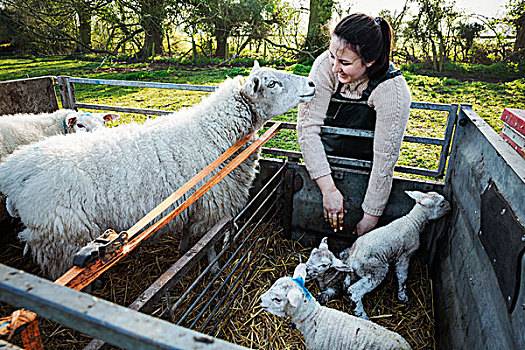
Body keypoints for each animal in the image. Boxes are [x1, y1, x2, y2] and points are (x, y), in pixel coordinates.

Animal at [0, 61, 316, 278]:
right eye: (272, 83)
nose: (312, 84)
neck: (214, 132)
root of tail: (15, 170)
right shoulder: (213, 206)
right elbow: (210, 245)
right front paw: (213, 270)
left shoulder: (192, 204)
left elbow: (190, 236)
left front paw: (183, 250)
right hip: (60, 237)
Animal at [340, 191, 450, 320]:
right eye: (441, 204)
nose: (450, 206)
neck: (414, 222)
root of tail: (351, 260)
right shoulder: (404, 255)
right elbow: (402, 276)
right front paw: (403, 296)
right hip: (375, 270)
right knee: (354, 292)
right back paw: (363, 315)